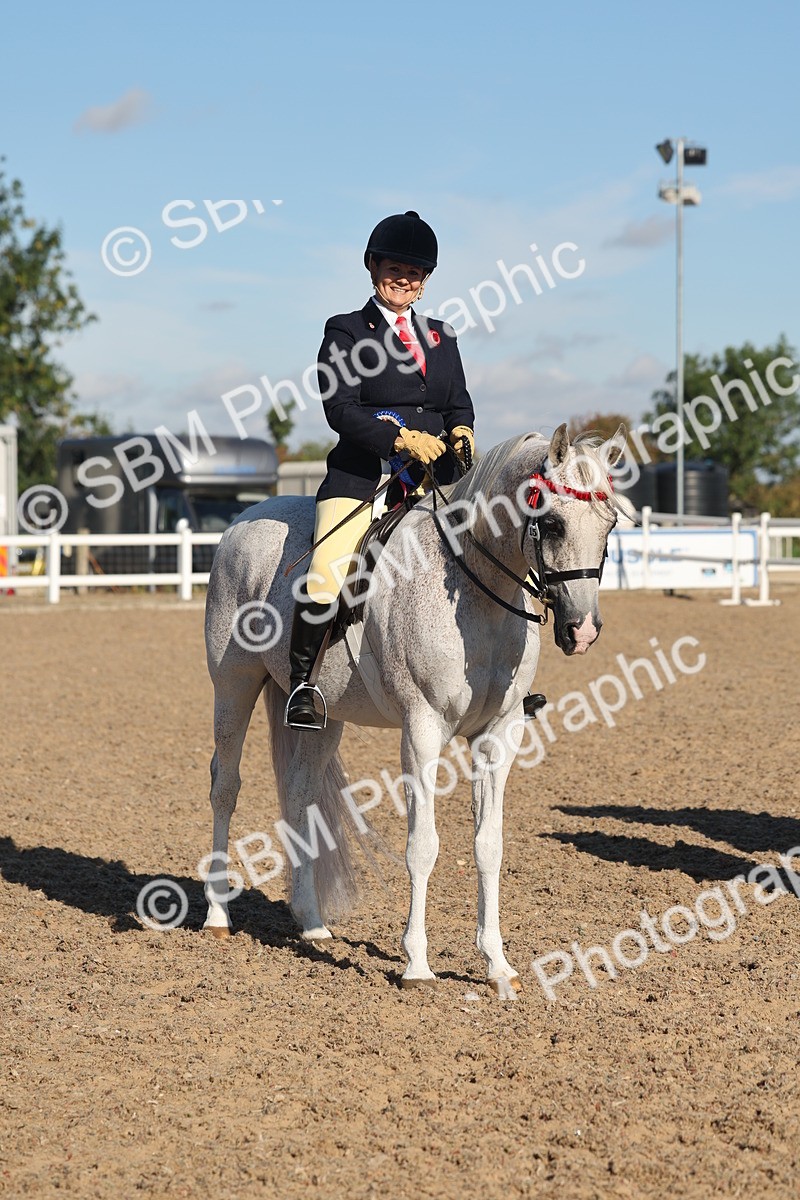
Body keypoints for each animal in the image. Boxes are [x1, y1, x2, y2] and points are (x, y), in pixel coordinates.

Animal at [202, 423, 630, 997]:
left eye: (608, 525)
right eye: (555, 523)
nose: (581, 631)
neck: (477, 593)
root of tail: (242, 522)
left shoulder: (500, 736)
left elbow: (488, 846)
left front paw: (498, 965)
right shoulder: (422, 730)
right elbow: (422, 846)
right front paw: (417, 964)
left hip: (321, 719)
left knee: (299, 796)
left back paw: (312, 924)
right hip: (233, 686)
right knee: (225, 786)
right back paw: (217, 916)